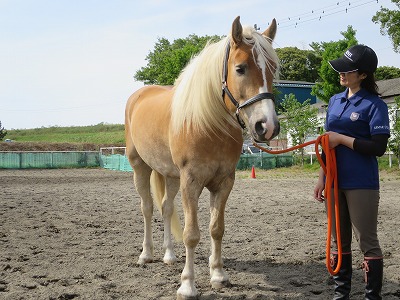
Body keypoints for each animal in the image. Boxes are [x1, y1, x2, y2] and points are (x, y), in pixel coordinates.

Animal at [126, 16, 280, 300]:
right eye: (240, 68)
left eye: (273, 70)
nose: (268, 126)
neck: (208, 124)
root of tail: (138, 96)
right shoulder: (191, 182)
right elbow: (191, 234)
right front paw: (187, 285)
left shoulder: (224, 182)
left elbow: (216, 229)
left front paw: (218, 275)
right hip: (139, 167)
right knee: (147, 208)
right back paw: (146, 255)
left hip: (170, 175)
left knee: (165, 207)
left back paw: (169, 255)